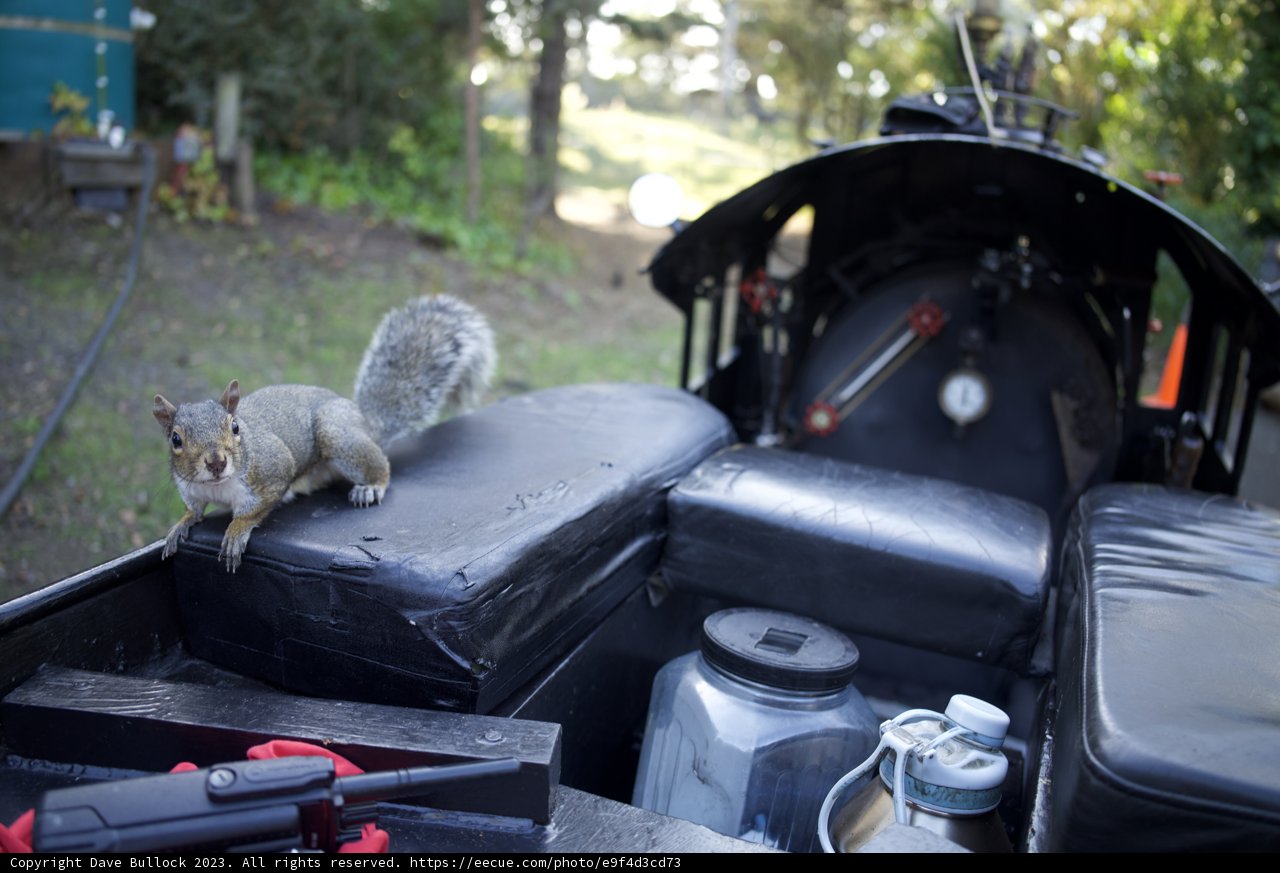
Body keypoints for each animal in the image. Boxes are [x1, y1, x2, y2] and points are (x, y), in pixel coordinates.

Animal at [152, 294, 496, 572]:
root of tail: (364, 422)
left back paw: (371, 487)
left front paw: (237, 530)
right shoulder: (189, 488)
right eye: (176, 439)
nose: (216, 462)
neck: (218, 487)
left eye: (234, 427)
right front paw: (181, 525)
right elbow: (193, 509)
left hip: (338, 435)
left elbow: (256, 509)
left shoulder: (273, 472)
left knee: (381, 467)